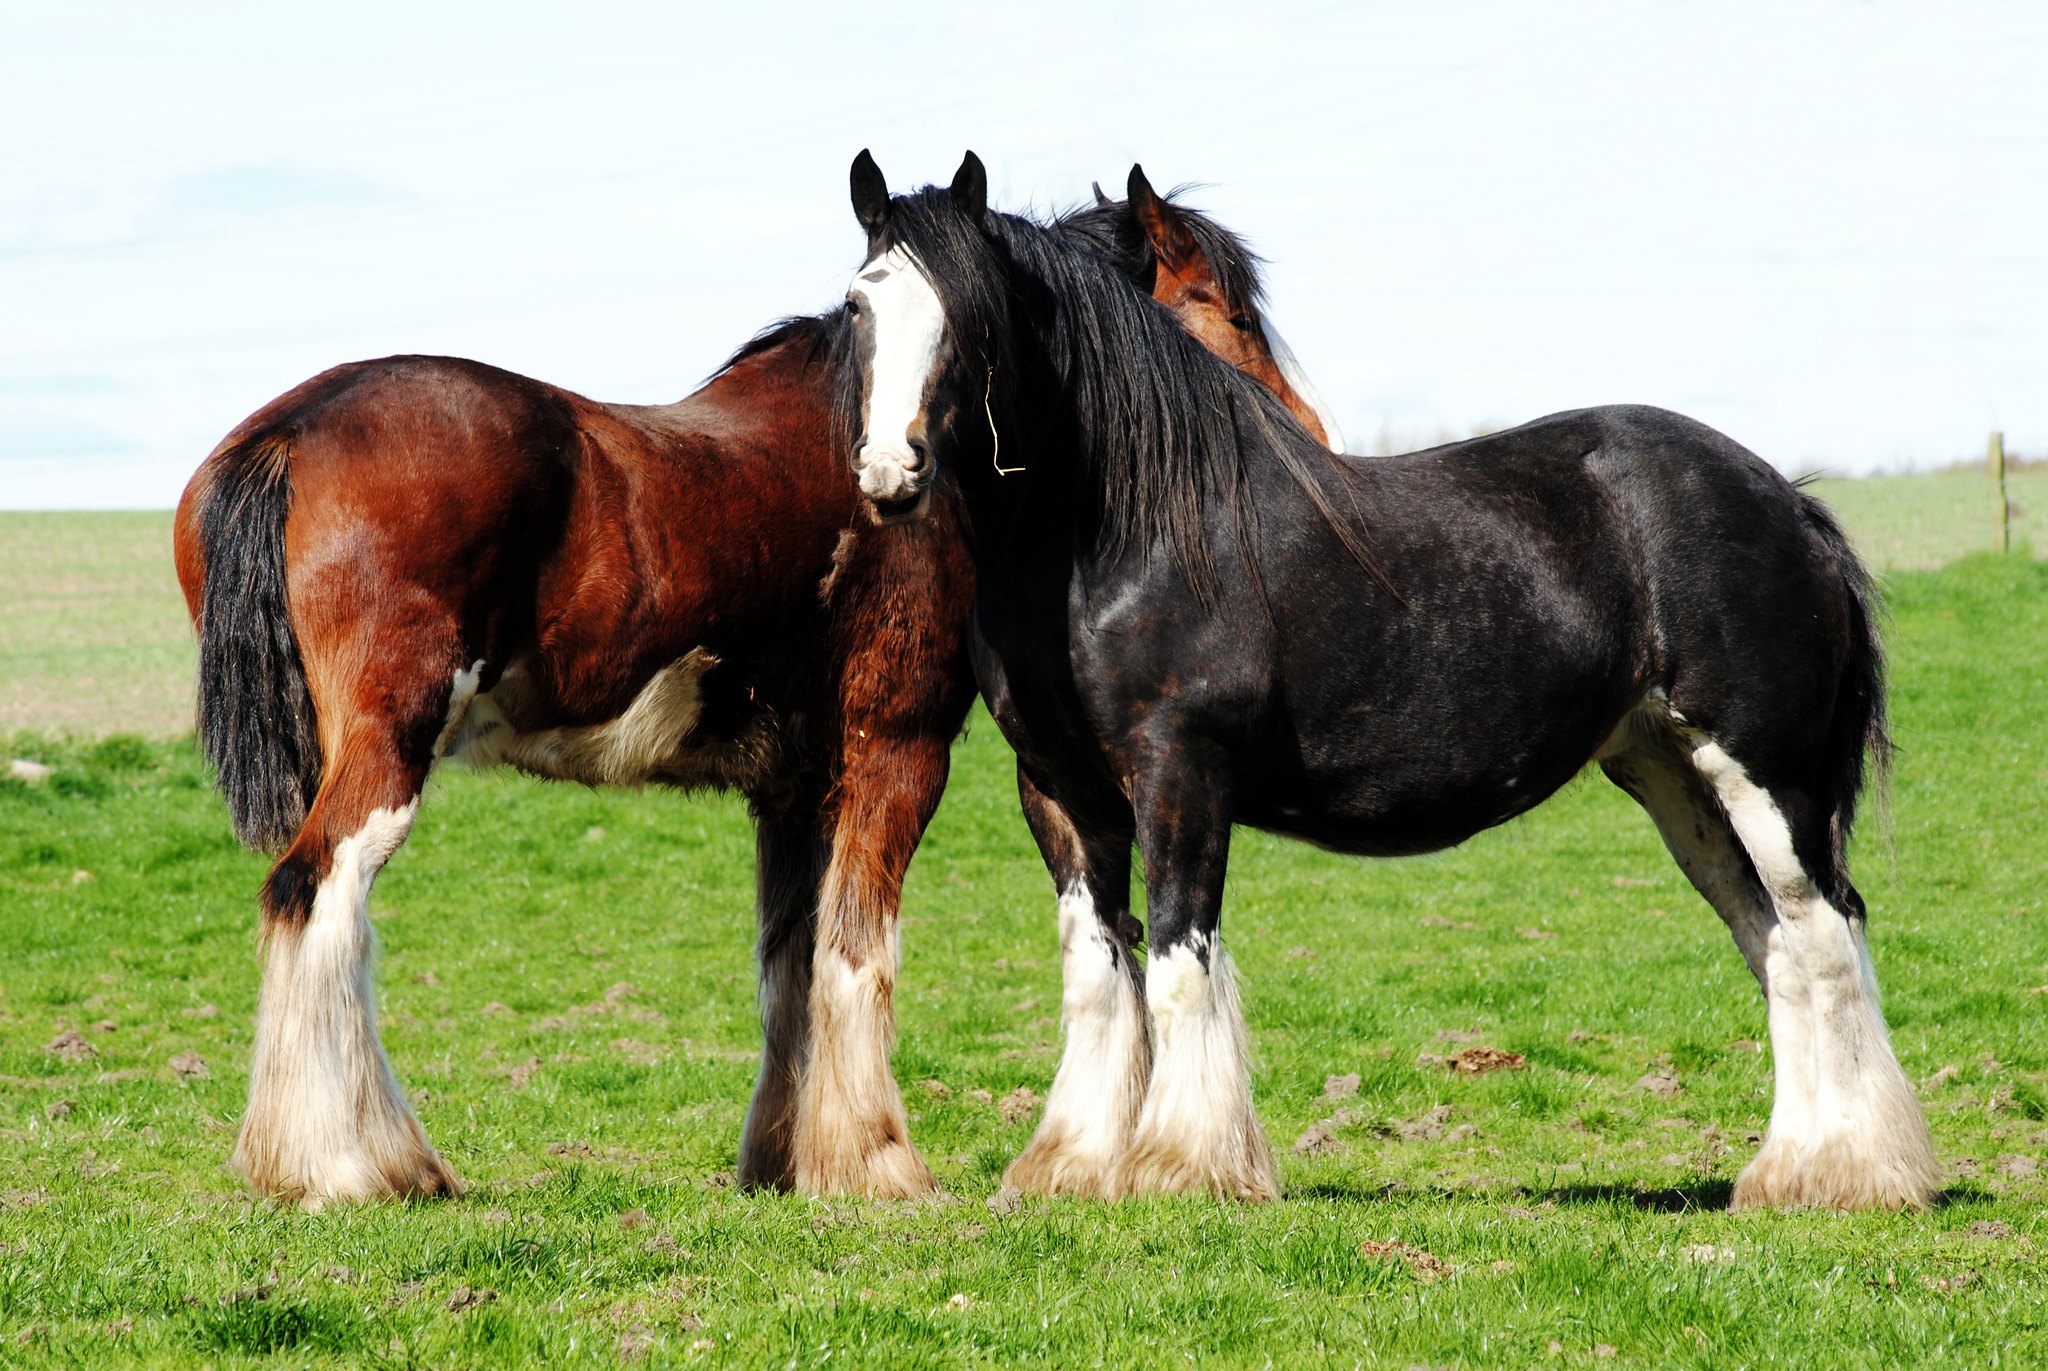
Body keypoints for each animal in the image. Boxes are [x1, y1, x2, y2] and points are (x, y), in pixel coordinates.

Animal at [827, 152, 1933, 1205]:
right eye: (859, 305)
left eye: (971, 318)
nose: (888, 468)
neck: (1121, 530)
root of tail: (1785, 499)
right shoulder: (1060, 792)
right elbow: (1097, 974)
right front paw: (1074, 1164)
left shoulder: (1180, 775)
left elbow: (1181, 962)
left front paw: (1182, 1164)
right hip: (1673, 778)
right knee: (1775, 943)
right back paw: (1786, 1173)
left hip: (1765, 774)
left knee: (1823, 933)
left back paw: (1855, 1175)